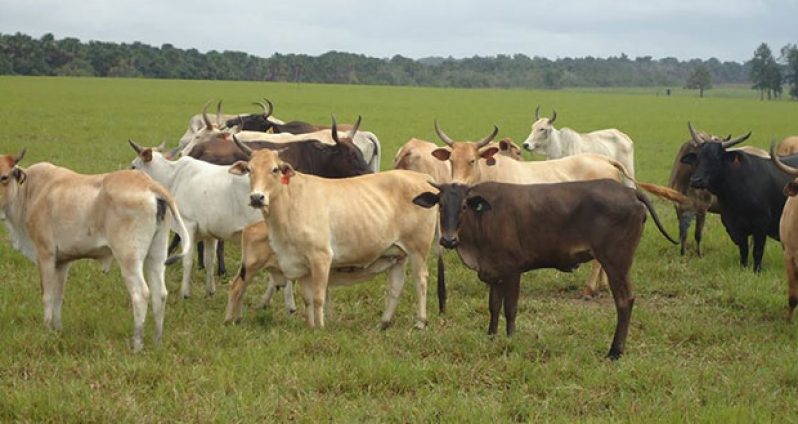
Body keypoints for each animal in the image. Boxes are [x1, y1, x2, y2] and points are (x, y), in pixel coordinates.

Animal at [0, 149, 191, 352]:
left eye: (4, 177)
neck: (29, 193)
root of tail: (149, 184)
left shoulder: (45, 255)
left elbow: (48, 296)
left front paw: (47, 330)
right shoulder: (62, 261)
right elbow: (59, 295)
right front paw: (57, 329)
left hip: (129, 258)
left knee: (141, 294)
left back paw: (137, 344)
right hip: (157, 255)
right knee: (159, 294)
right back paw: (157, 340)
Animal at [127, 141, 260, 296]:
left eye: (133, 166)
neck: (172, 178)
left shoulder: (188, 224)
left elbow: (188, 259)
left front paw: (184, 293)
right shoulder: (210, 233)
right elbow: (209, 261)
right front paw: (210, 291)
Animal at [228, 145, 440, 328]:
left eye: (275, 169)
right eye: (249, 169)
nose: (257, 198)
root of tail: (424, 177)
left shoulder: (321, 257)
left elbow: (318, 297)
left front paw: (320, 328)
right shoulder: (302, 265)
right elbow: (308, 299)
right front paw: (310, 326)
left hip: (418, 249)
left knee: (421, 280)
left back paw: (421, 322)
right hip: (397, 254)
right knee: (396, 287)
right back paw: (384, 323)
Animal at [412, 177, 680, 360]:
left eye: (465, 206)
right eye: (440, 205)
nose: (448, 240)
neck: (483, 220)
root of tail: (630, 191)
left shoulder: (512, 270)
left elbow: (510, 309)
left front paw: (510, 341)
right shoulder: (494, 272)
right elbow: (493, 307)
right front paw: (491, 337)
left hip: (616, 262)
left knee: (625, 300)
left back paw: (614, 351)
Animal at [680, 122, 798, 272]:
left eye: (716, 158)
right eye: (698, 158)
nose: (696, 180)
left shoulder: (761, 224)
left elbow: (757, 250)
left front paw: (756, 271)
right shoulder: (735, 225)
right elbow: (744, 250)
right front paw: (743, 268)